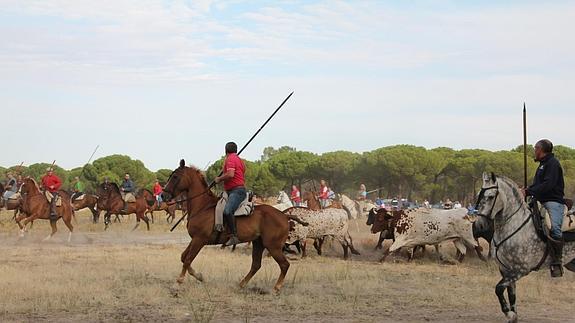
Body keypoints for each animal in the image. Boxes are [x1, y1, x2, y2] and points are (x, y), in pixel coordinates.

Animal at [162, 160, 306, 294]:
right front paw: (200, 276)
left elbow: (187, 260)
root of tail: (284, 215)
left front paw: (177, 283)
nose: (163, 195)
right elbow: (183, 257)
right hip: (258, 243)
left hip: (273, 246)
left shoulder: (199, 240)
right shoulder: (194, 240)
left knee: (284, 264)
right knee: (256, 265)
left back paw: (276, 288)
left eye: (175, 176)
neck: (203, 206)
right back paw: (241, 284)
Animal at [474, 173, 575, 322]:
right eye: (479, 195)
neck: (514, 225)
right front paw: (513, 316)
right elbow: (511, 294)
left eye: (491, 196)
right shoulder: (505, 270)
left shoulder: (520, 270)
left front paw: (509, 313)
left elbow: (498, 289)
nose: (479, 225)